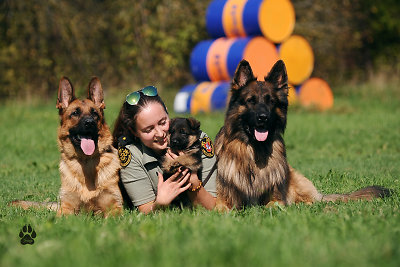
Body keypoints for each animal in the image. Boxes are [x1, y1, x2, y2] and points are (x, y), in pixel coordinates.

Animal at [11, 77, 122, 218]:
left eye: (95, 114)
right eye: (75, 113)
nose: (90, 123)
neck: (86, 162)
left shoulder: (115, 207)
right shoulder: (66, 208)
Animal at [214, 60, 392, 211]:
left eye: (271, 101)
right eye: (251, 100)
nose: (263, 118)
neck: (254, 152)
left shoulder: (276, 198)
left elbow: (272, 206)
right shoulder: (224, 198)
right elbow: (220, 208)